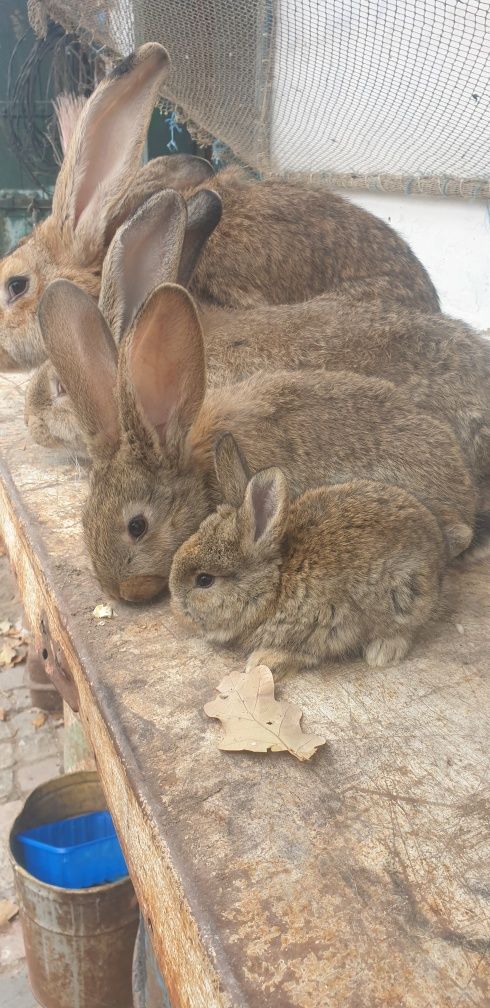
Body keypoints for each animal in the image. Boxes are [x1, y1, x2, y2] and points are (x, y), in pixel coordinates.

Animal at [169, 435, 447, 677]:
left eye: (204, 580)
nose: (175, 606)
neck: (276, 584)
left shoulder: (325, 626)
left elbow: (302, 653)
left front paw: (262, 661)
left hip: (405, 594)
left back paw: (381, 653)